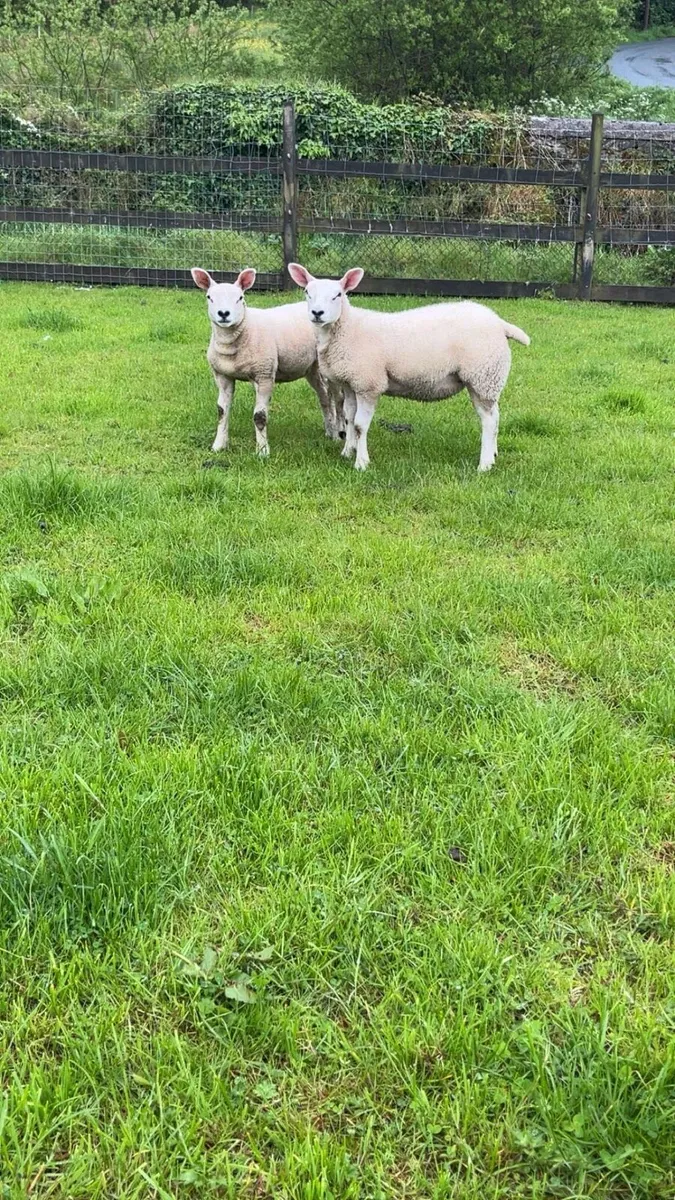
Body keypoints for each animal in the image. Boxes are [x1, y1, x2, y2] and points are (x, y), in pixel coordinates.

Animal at [191, 266, 344, 456]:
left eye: (240, 298)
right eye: (209, 297)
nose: (224, 314)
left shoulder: (264, 375)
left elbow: (260, 416)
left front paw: (262, 451)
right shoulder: (222, 376)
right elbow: (221, 411)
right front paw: (219, 445)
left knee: (336, 399)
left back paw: (337, 434)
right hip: (312, 368)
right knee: (324, 396)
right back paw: (329, 430)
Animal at [288, 263, 530, 472]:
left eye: (337, 295)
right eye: (307, 292)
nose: (317, 313)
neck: (347, 329)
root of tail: (499, 323)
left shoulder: (369, 384)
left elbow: (359, 425)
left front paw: (361, 462)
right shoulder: (350, 382)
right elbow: (348, 418)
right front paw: (348, 451)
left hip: (483, 375)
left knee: (489, 420)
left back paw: (485, 464)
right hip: (488, 379)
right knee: (495, 416)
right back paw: (494, 454)